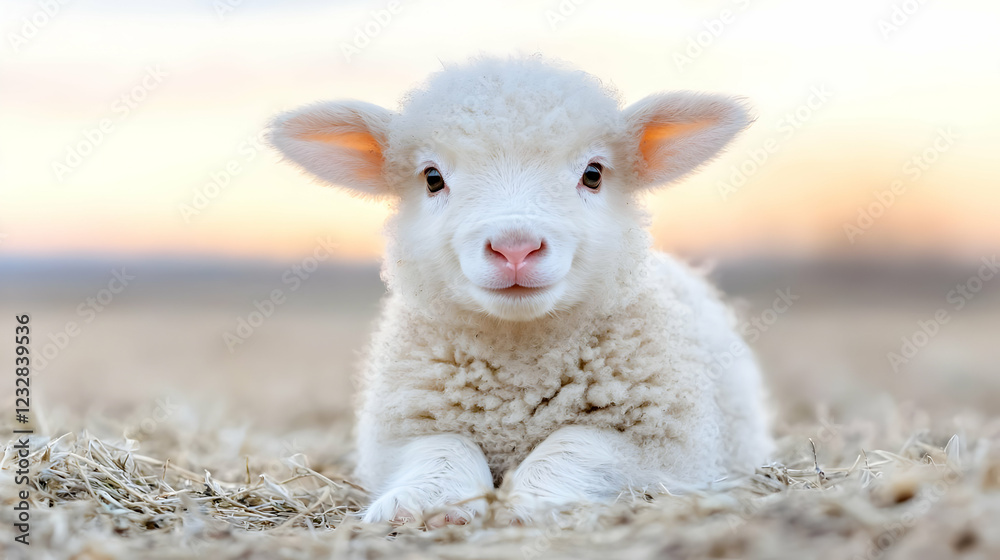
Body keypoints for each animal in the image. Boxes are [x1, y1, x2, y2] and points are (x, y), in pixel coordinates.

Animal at [269, 56, 774, 527]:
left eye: (593, 173)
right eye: (432, 178)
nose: (515, 247)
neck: (519, 368)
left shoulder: (669, 443)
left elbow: (575, 444)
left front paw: (528, 503)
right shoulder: (397, 435)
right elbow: (443, 448)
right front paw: (418, 504)